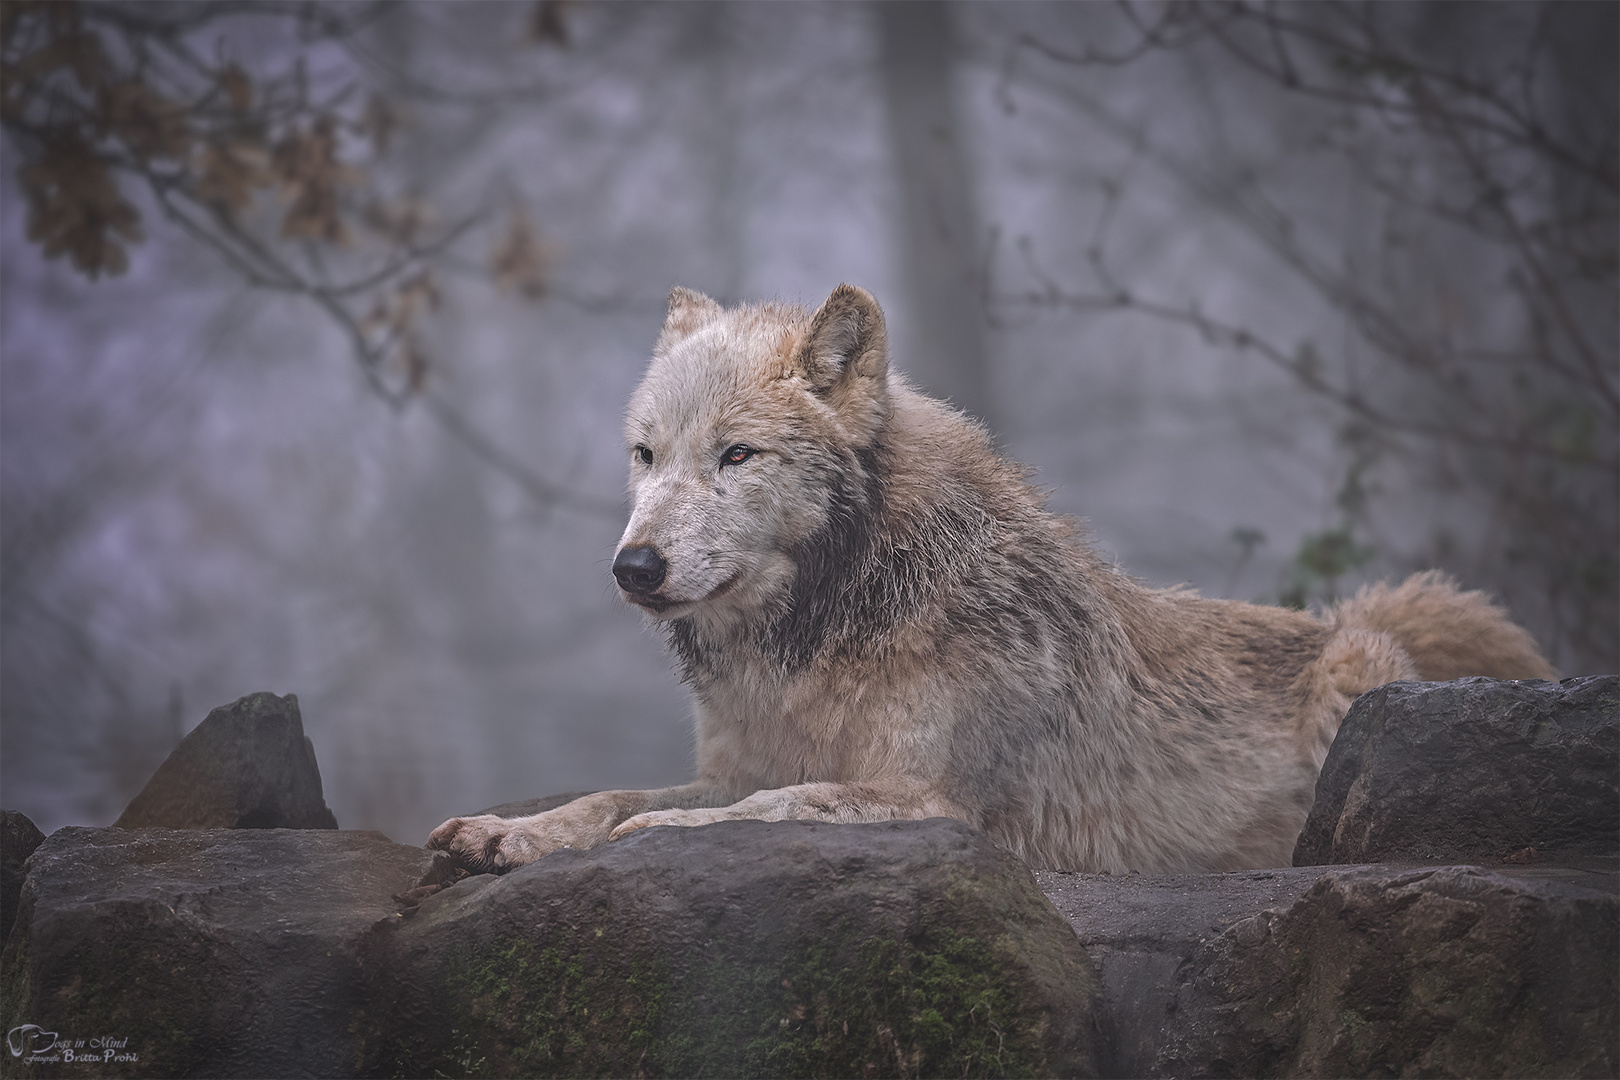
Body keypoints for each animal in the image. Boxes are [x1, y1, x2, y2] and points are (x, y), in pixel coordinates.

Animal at [427, 283, 1555, 874]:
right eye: (646, 455)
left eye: (736, 456)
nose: (634, 566)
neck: (827, 630)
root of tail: (1356, 619)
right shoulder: (739, 760)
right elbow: (613, 791)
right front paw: (509, 831)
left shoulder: (936, 803)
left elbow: (763, 807)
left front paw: (653, 837)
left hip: (1358, 687)